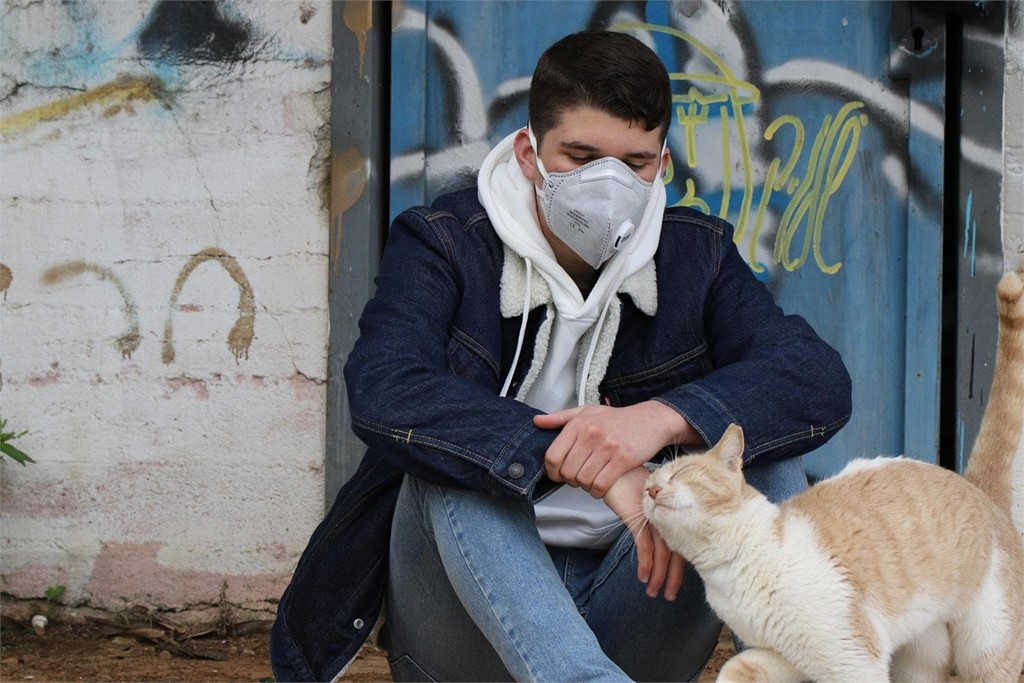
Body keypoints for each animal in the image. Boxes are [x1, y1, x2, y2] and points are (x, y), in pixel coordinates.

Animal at [643, 268, 1024, 683]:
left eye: (682, 473)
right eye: (648, 484)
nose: (651, 491)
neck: (731, 570)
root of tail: (975, 487)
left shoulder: (852, 660)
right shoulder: (776, 656)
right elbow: (735, 668)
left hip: (987, 653)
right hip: (918, 659)